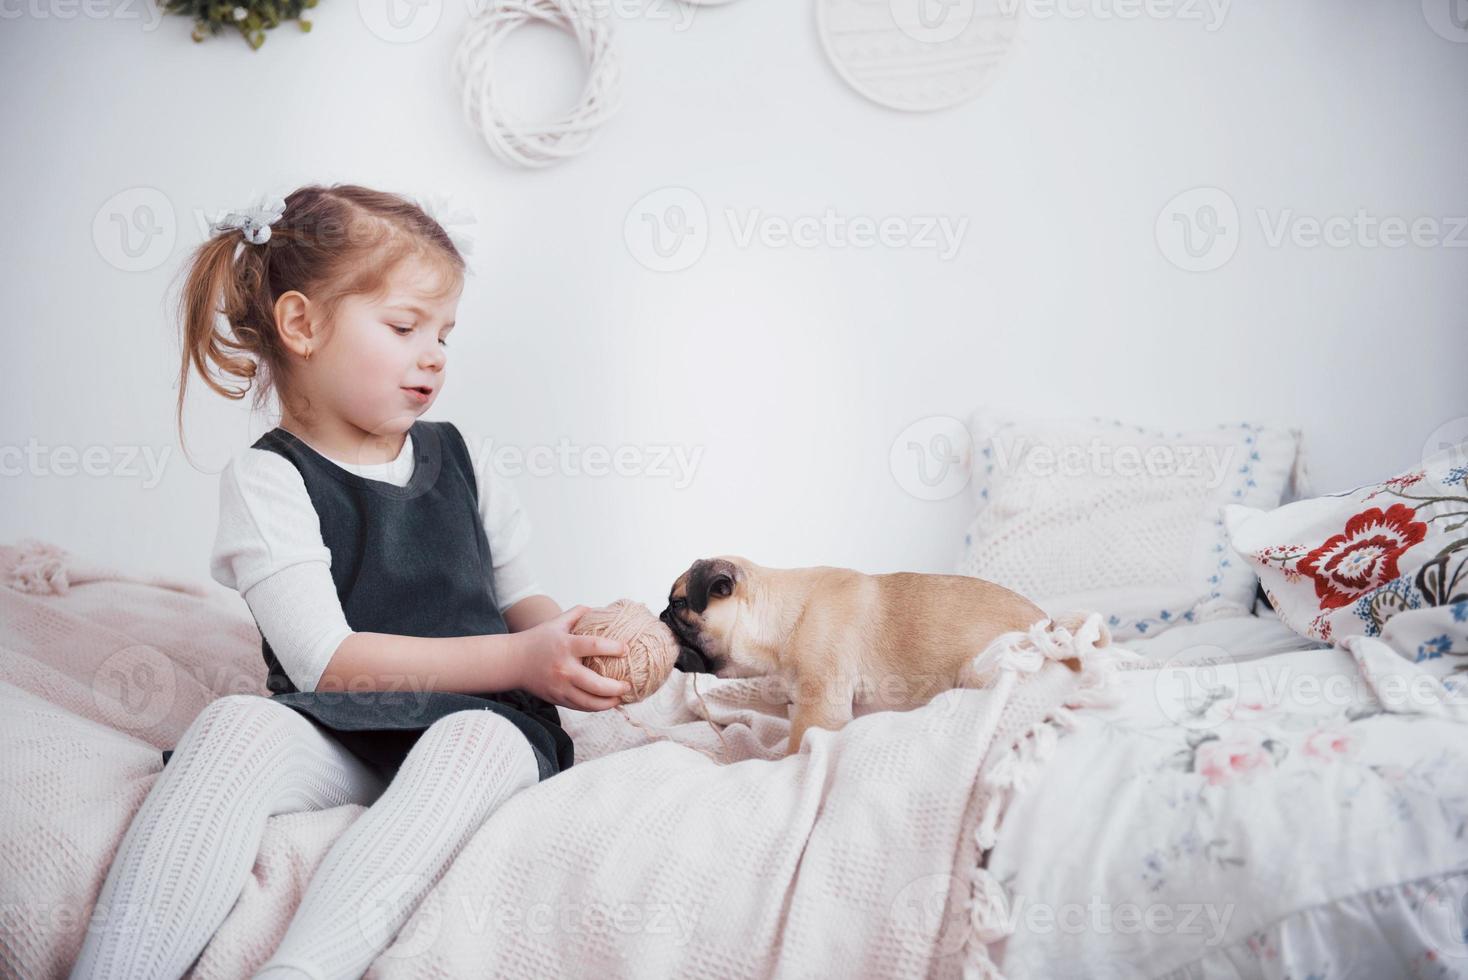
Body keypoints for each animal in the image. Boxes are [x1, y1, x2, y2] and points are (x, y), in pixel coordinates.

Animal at [660, 554, 1098, 757]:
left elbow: (797, 747)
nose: (661, 616)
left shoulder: (819, 710)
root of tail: (1054, 630)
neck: (783, 618)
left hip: (979, 669)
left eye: (679, 605)